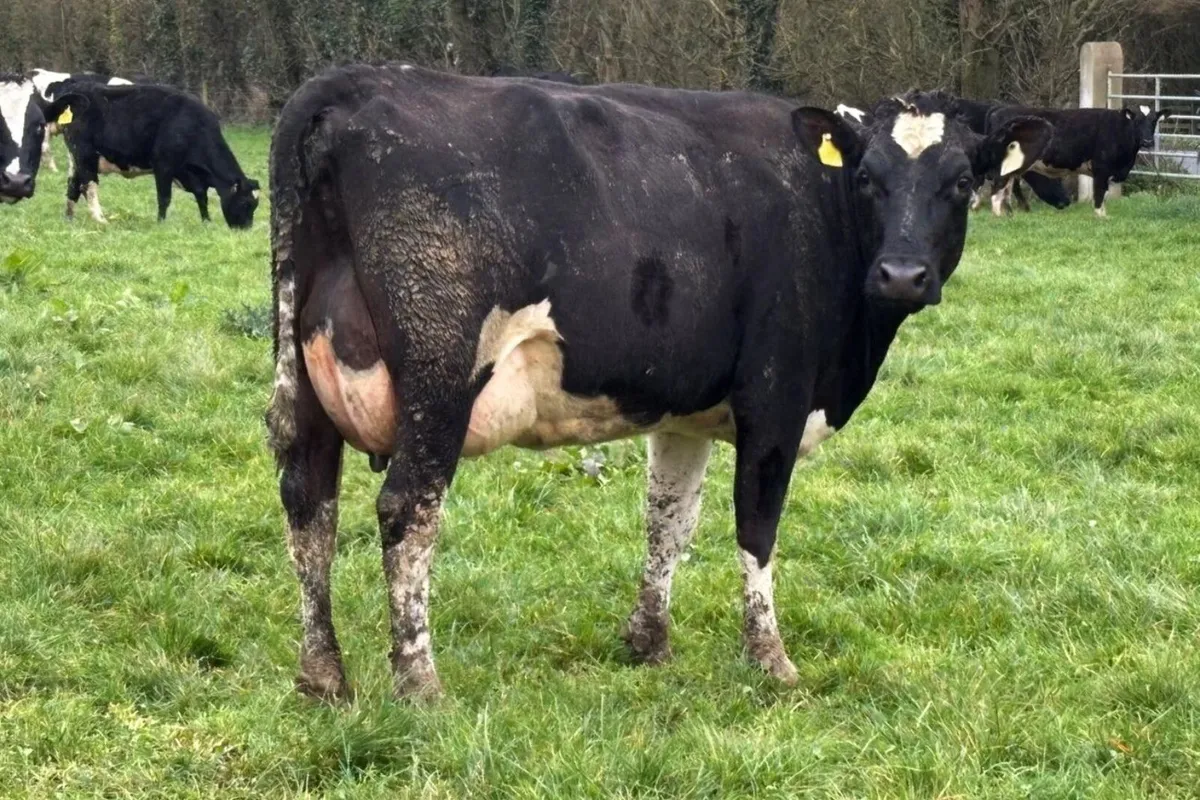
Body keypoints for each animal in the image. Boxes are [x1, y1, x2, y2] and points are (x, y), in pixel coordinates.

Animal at [57, 82, 260, 227]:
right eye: (246, 203)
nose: (246, 228)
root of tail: (78, 90)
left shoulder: (187, 173)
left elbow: (201, 196)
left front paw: (206, 221)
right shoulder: (163, 166)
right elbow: (164, 197)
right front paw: (161, 222)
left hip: (76, 160)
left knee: (73, 187)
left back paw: (69, 219)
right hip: (85, 156)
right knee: (88, 186)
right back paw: (100, 219)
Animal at [266, 64, 1051, 701]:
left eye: (960, 183)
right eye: (867, 179)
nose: (901, 275)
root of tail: (350, 82)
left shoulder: (685, 413)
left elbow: (668, 520)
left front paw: (648, 641)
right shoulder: (777, 400)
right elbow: (756, 526)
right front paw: (770, 660)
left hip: (302, 378)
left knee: (308, 501)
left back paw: (323, 676)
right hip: (440, 379)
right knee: (407, 512)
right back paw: (419, 683)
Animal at [987, 104, 1171, 217]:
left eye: (1154, 121)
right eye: (1137, 121)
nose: (1148, 141)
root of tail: (1000, 109)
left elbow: (1104, 195)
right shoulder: (1101, 169)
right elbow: (1099, 195)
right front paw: (1100, 217)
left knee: (1008, 187)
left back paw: (1008, 214)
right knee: (999, 187)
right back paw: (998, 216)